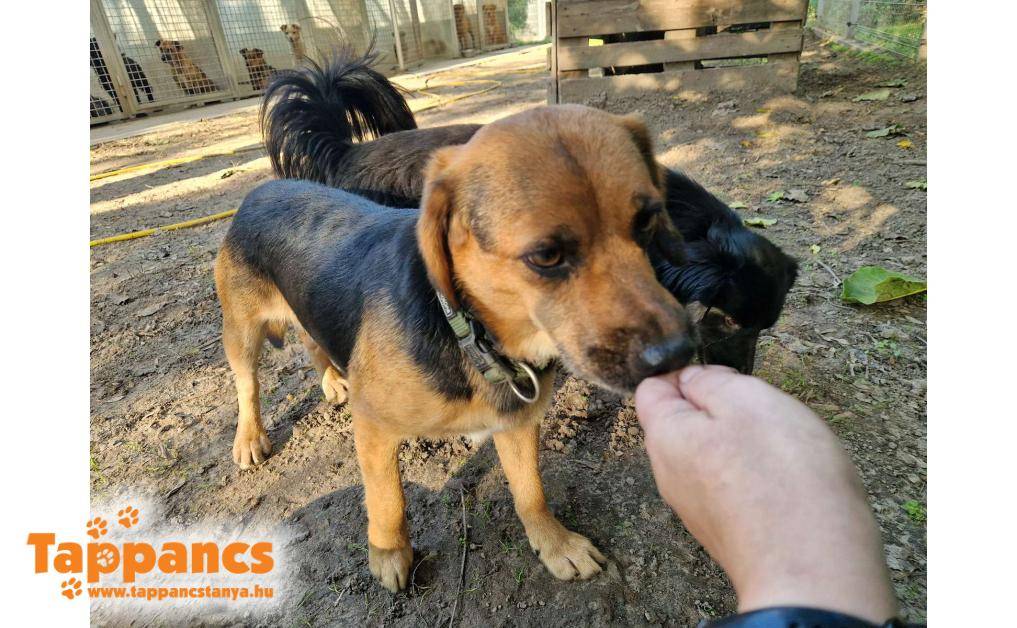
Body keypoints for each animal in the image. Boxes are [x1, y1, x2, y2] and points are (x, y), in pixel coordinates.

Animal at [217, 105, 695, 591]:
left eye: (647, 222)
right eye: (545, 256)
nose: (678, 352)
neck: (470, 332)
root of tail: (263, 189)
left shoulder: (516, 422)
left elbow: (531, 492)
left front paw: (554, 543)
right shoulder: (372, 426)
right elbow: (387, 499)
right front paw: (389, 553)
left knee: (312, 341)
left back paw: (333, 380)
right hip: (242, 333)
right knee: (247, 385)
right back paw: (250, 438)